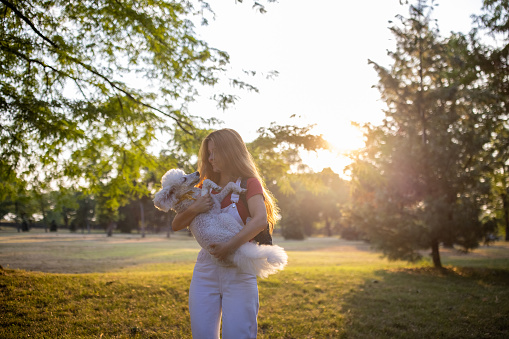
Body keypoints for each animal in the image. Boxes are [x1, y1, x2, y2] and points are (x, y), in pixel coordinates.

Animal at [152, 169, 286, 278]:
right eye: (184, 179)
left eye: (184, 174)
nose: (197, 172)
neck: (187, 196)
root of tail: (238, 252)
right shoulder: (207, 200)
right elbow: (207, 183)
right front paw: (215, 186)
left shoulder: (217, 199)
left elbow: (229, 185)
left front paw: (236, 189)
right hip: (226, 218)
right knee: (242, 231)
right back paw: (248, 222)